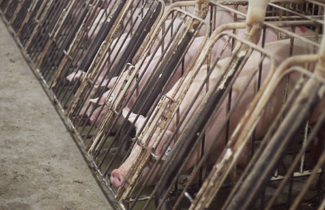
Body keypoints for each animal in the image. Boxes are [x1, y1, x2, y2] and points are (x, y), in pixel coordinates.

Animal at [110, 37, 318, 187]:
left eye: (159, 151)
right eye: (136, 140)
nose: (115, 173)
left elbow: (236, 166)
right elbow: (200, 166)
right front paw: (186, 181)